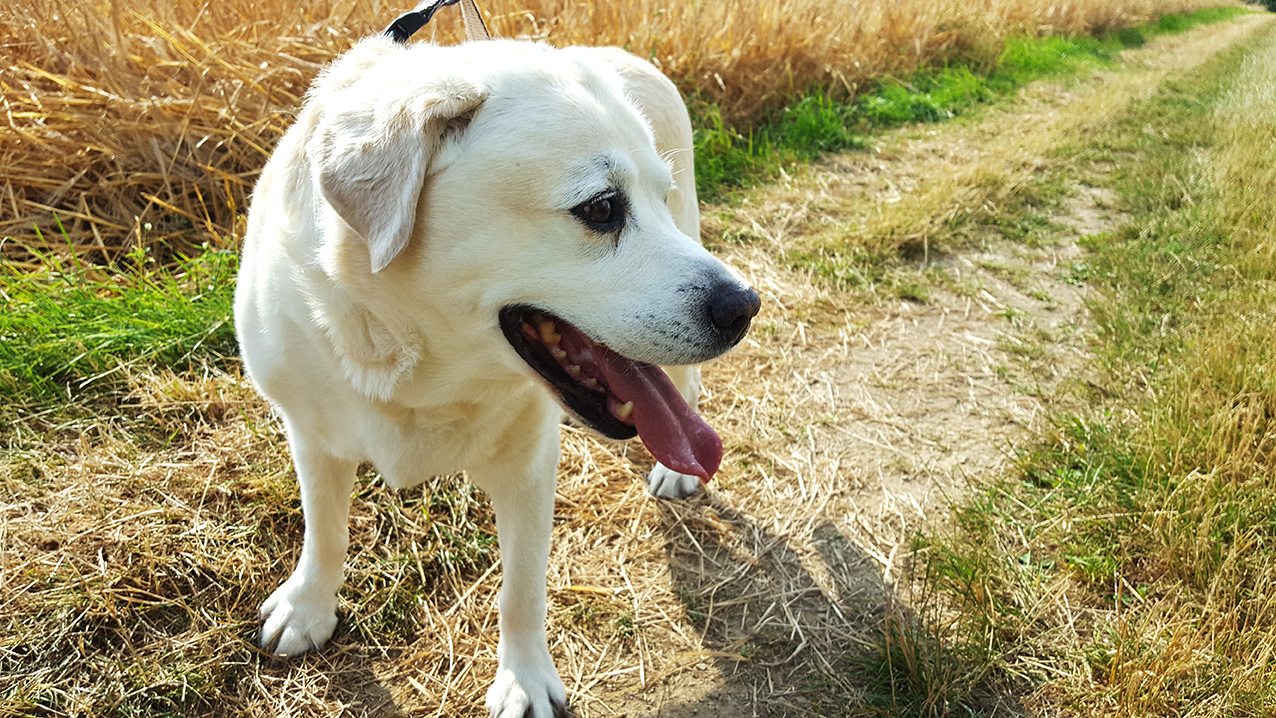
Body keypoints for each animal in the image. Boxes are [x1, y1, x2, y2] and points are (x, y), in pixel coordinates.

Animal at [233, 32, 755, 718]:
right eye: (602, 207)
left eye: (655, 197)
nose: (745, 306)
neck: (419, 368)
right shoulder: (313, 434)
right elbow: (324, 530)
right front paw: (308, 606)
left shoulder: (528, 464)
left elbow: (521, 588)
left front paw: (525, 679)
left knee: (684, 387)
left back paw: (678, 469)